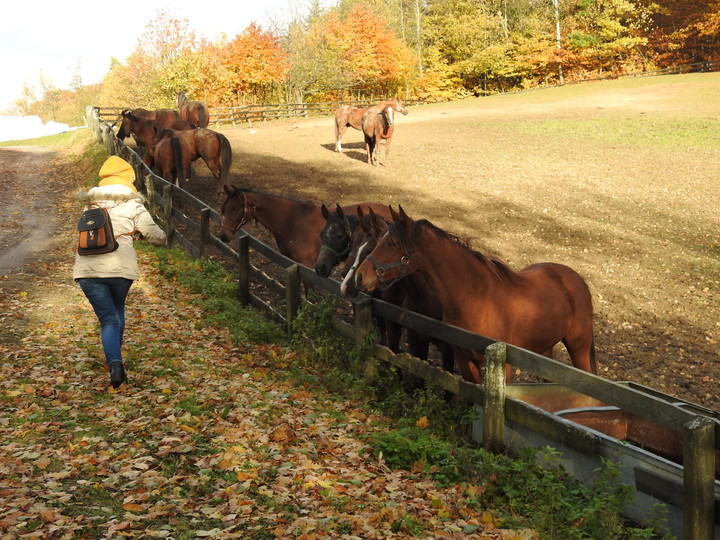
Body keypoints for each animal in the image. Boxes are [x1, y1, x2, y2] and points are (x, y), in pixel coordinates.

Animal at [352, 205, 596, 382]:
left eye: (393, 243)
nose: (360, 276)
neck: (477, 298)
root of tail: (576, 279)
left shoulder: (502, 368)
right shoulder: (464, 359)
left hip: (578, 347)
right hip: (545, 349)